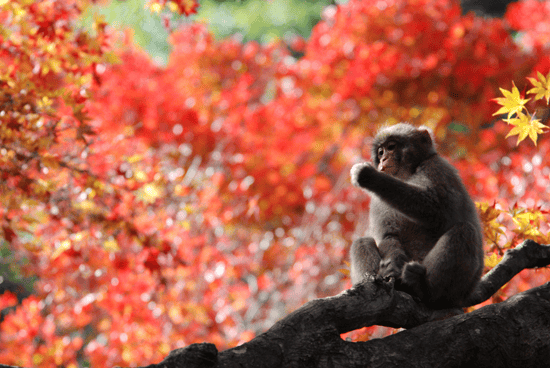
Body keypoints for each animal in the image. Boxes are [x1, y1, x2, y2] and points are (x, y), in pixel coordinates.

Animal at [352, 123, 486, 308]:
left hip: (461, 289)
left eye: (391, 147)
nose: (384, 159)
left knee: (464, 231)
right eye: (380, 152)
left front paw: (371, 177)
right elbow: (388, 235)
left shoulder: (436, 167)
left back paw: (423, 288)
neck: (407, 175)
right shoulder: (377, 202)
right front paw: (391, 266)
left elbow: (435, 209)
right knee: (361, 242)